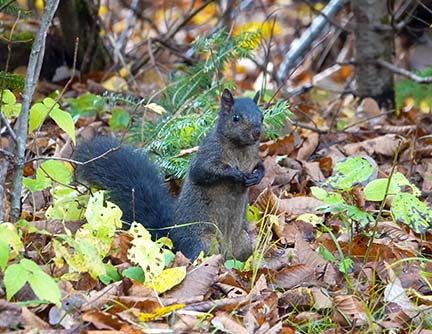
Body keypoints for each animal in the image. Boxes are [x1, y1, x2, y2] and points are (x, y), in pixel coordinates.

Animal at [74, 89, 264, 260]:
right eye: (236, 118)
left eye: (261, 116)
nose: (257, 132)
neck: (240, 148)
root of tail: (172, 237)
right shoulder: (208, 153)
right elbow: (204, 171)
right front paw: (236, 174)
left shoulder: (254, 157)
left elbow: (260, 166)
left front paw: (258, 176)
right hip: (203, 243)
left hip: (244, 242)